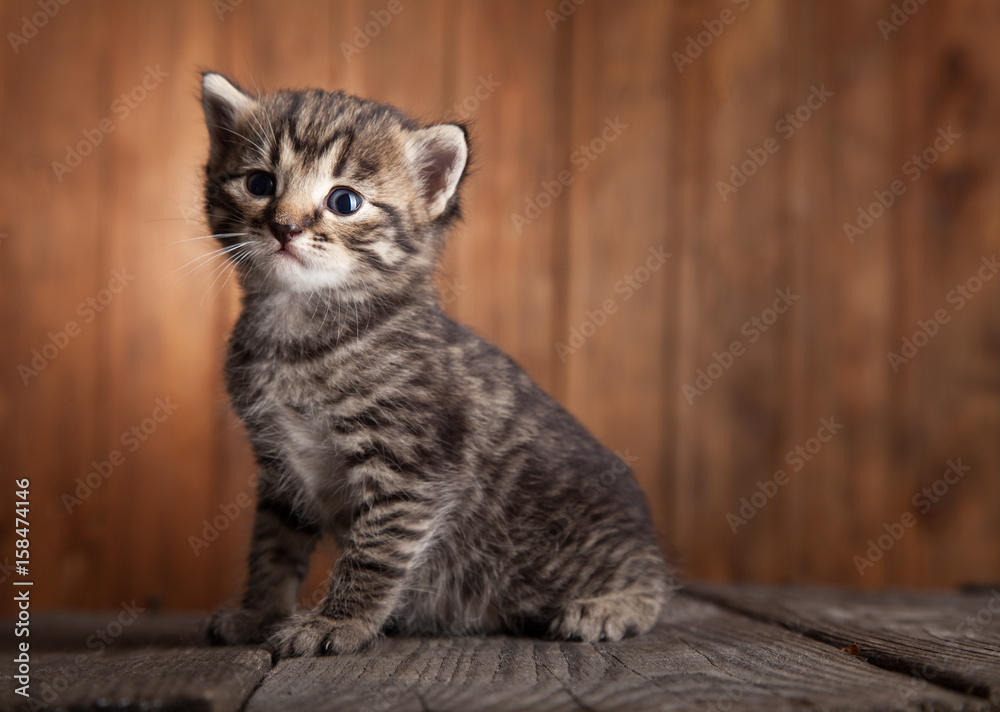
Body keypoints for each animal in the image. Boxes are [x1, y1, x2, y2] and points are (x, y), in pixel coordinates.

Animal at [200, 72, 676, 656]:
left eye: (344, 201)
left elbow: (374, 553)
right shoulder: (277, 470)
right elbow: (272, 549)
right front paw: (258, 613)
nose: (284, 227)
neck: (297, 331)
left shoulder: (412, 466)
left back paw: (609, 607)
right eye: (260, 184)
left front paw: (337, 622)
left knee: (655, 582)